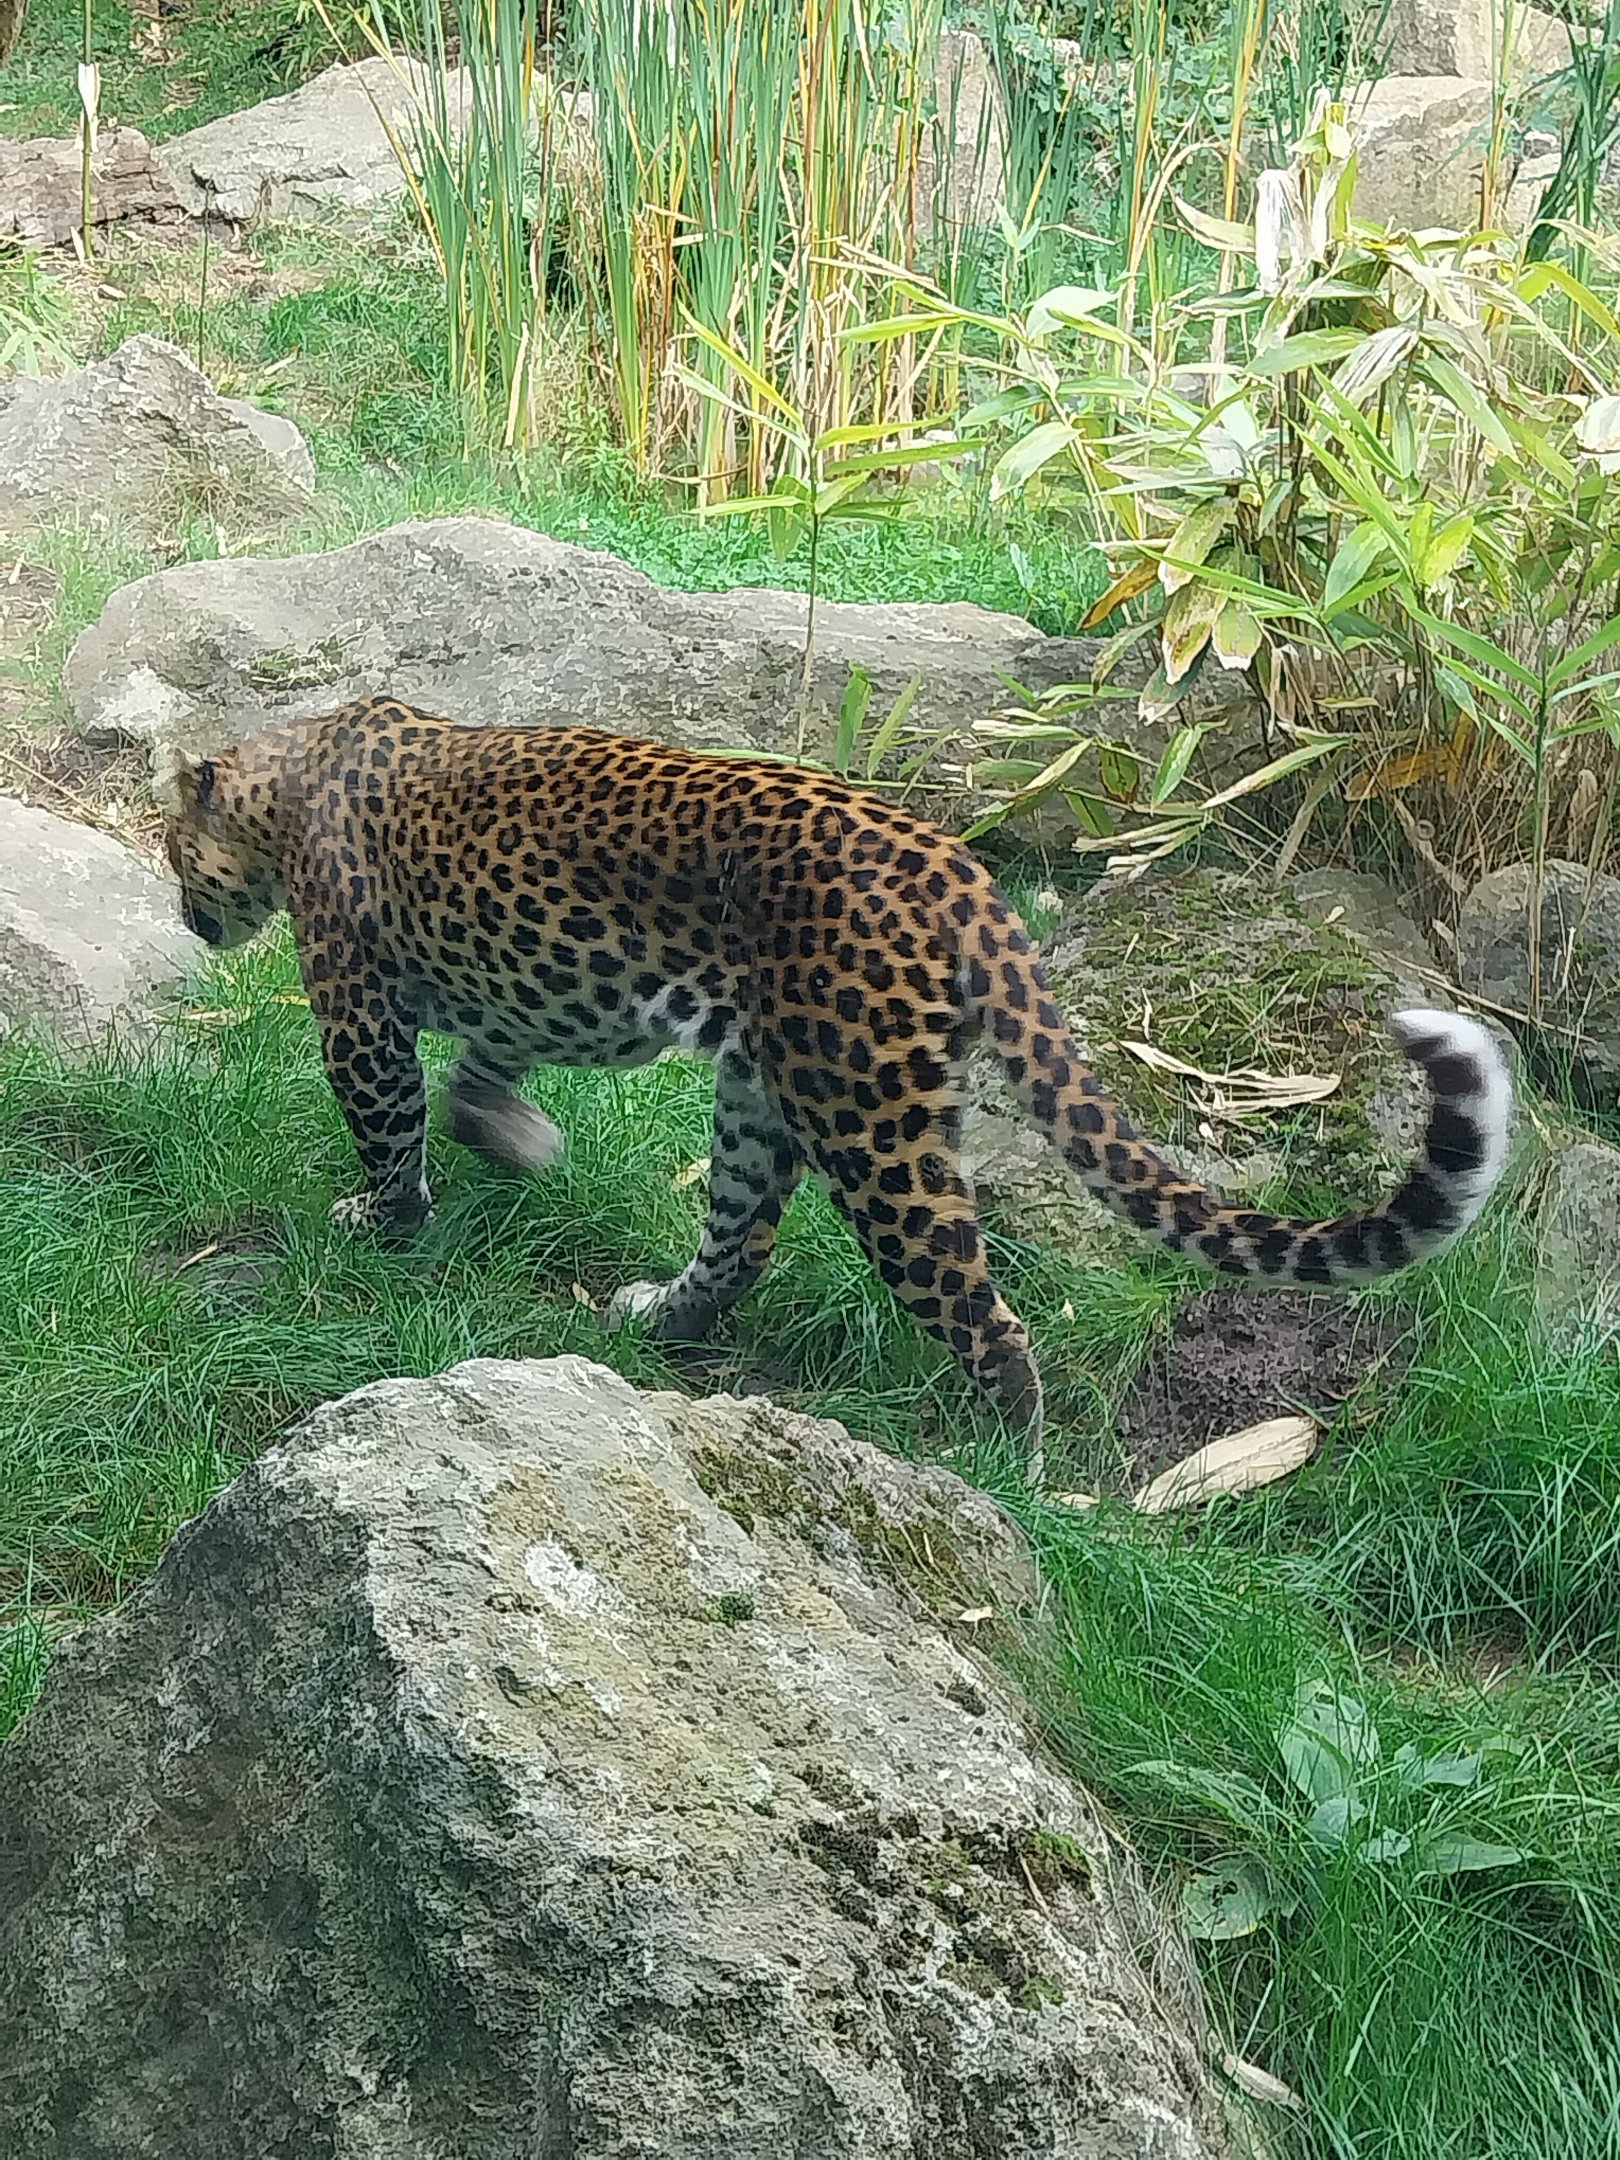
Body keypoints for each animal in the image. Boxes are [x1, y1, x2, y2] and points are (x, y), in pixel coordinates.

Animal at [162, 696, 1512, 1470]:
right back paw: (664, 1320)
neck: (287, 778)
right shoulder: (516, 993)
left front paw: (383, 1221)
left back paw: (1001, 1468)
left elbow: (390, 1122)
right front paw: (515, 1139)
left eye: (173, 850)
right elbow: (478, 1075)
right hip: (767, 1085)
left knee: (978, 1306)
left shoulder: (355, 1005)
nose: (182, 918)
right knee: (744, 1238)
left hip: (870, 1117)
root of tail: (956, 866)